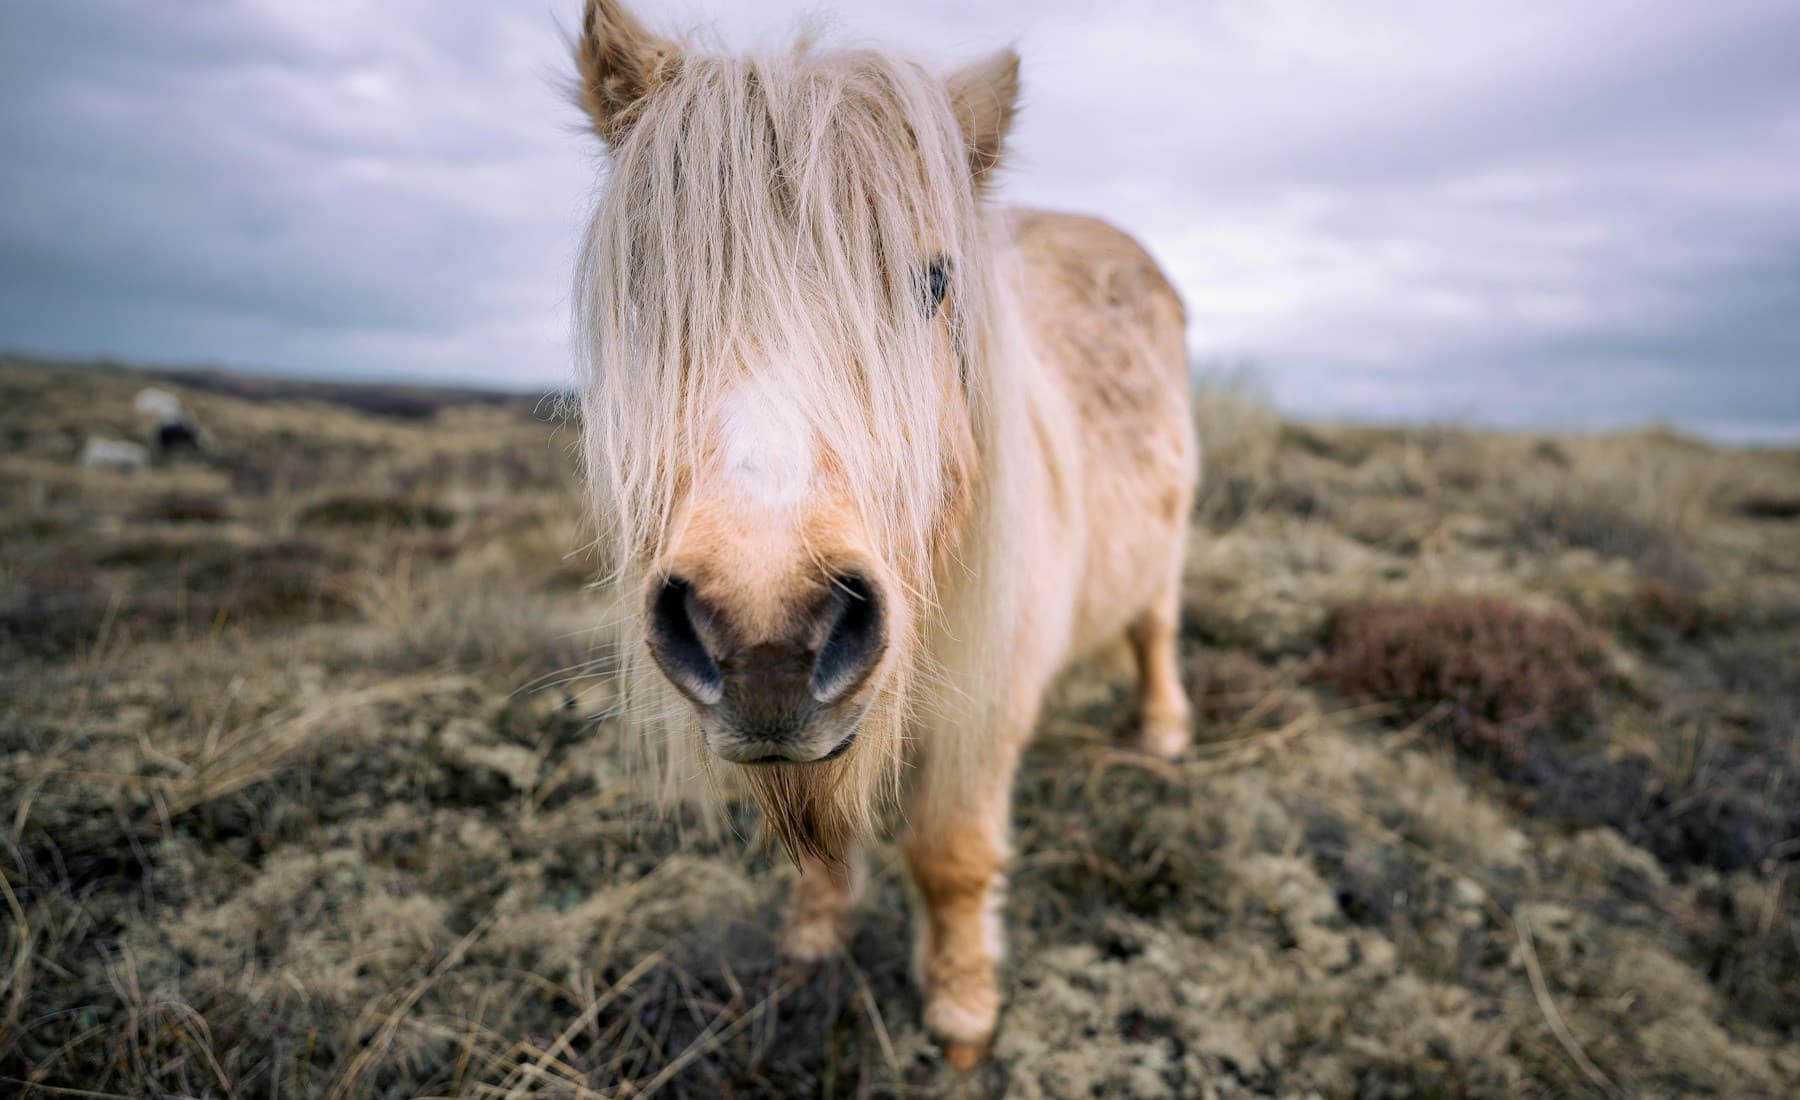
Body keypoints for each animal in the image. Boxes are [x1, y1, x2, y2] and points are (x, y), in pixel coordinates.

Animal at [568, 0, 1198, 1068]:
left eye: (935, 283)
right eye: (651, 291)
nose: (766, 631)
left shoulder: (990, 703)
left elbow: (951, 856)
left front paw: (963, 1013)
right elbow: (825, 853)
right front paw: (813, 944)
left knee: (1154, 628)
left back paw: (1159, 733)